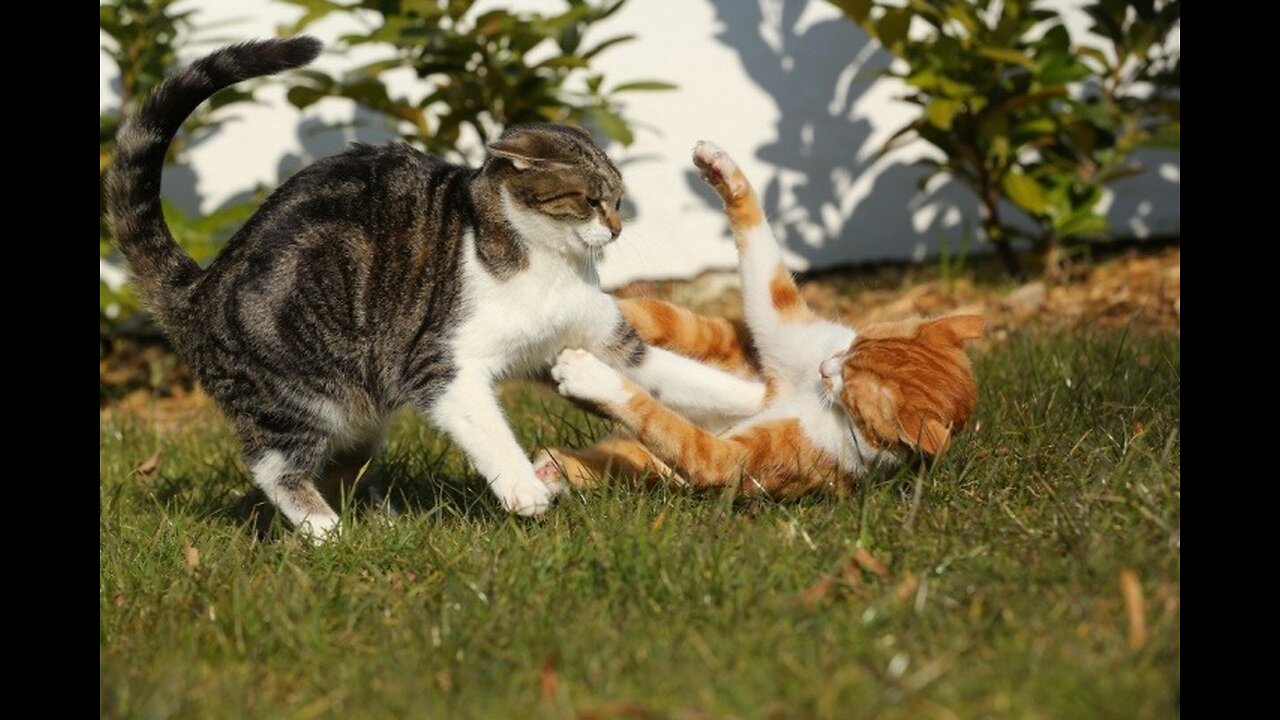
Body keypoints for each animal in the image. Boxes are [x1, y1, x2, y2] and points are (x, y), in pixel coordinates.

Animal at [107, 36, 757, 535]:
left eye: (619, 199)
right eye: (590, 199)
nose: (619, 228)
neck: (546, 264)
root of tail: (201, 287)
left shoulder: (606, 343)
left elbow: (688, 379)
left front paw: (767, 400)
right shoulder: (439, 367)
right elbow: (487, 429)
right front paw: (523, 489)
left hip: (361, 405)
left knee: (342, 465)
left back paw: (383, 523)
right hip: (301, 391)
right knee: (273, 466)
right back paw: (325, 531)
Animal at [535, 142, 983, 497]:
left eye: (852, 385)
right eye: (854, 345)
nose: (826, 367)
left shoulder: (729, 461)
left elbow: (665, 424)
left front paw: (590, 378)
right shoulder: (780, 320)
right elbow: (764, 259)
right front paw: (724, 172)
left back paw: (553, 468)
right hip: (711, 335)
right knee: (647, 320)